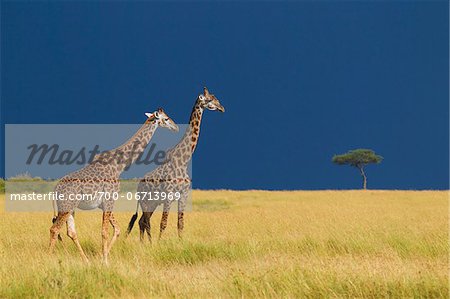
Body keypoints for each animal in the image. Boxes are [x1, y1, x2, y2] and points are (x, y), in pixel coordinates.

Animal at [47, 108, 178, 264]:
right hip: (66, 207)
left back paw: (86, 261)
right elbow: (105, 231)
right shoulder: (110, 199)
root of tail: (55, 189)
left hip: (70, 208)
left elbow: (117, 229)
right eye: (166, 118)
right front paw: (105, 261)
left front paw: (102, 257)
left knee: (70, 232)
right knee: (54, 229)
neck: (119, 165)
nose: (176, 127)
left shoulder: (105, 203)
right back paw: (48, 258)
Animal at [125, 87, 225, 244]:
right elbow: (163, 223)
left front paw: (180, 243)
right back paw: (148, 243)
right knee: (145, 221)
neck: (183, 160)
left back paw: (144, 244)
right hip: (146, 201)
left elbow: (180, 223)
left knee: (142, 221)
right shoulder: (169, 195)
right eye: (210, 99)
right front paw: (160, 244)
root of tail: (139, 186)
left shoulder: (183, 195)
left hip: (153, 203)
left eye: (217, 99)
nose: (222, 108)